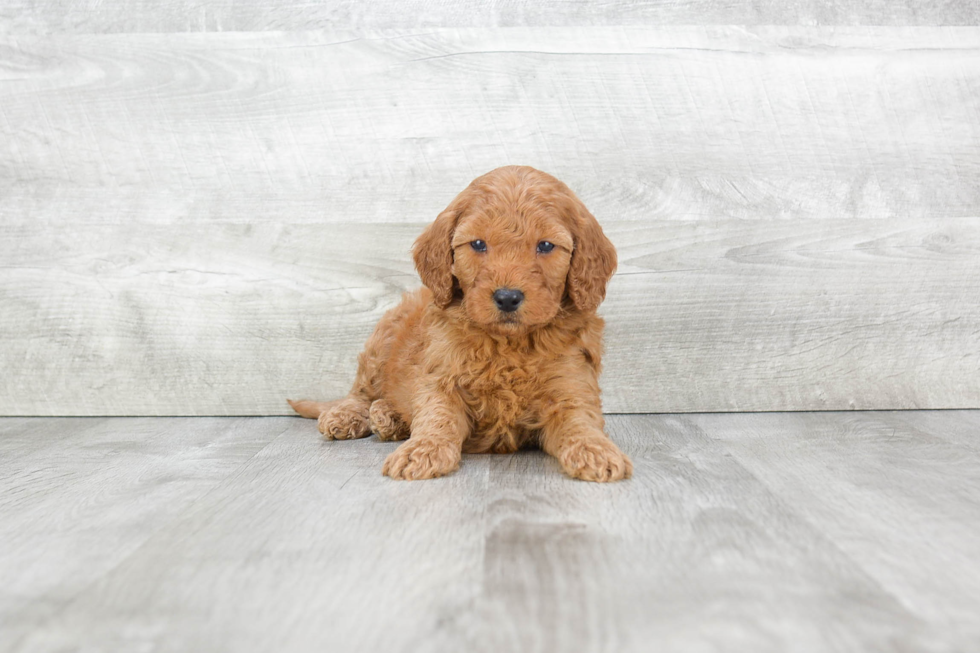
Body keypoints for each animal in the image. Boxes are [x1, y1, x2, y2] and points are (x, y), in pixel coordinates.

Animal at [288, 164, 632, 478]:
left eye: (546, 245)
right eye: (478, 244)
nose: (507, 297)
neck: (509, 344)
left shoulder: (571, 384)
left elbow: (580, 421)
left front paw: (595, 450)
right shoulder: (440, 375)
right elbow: (436, 415)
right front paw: (423, 450)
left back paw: (389, 416)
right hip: (381, 341)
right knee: (360, 392)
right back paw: (351, 416)